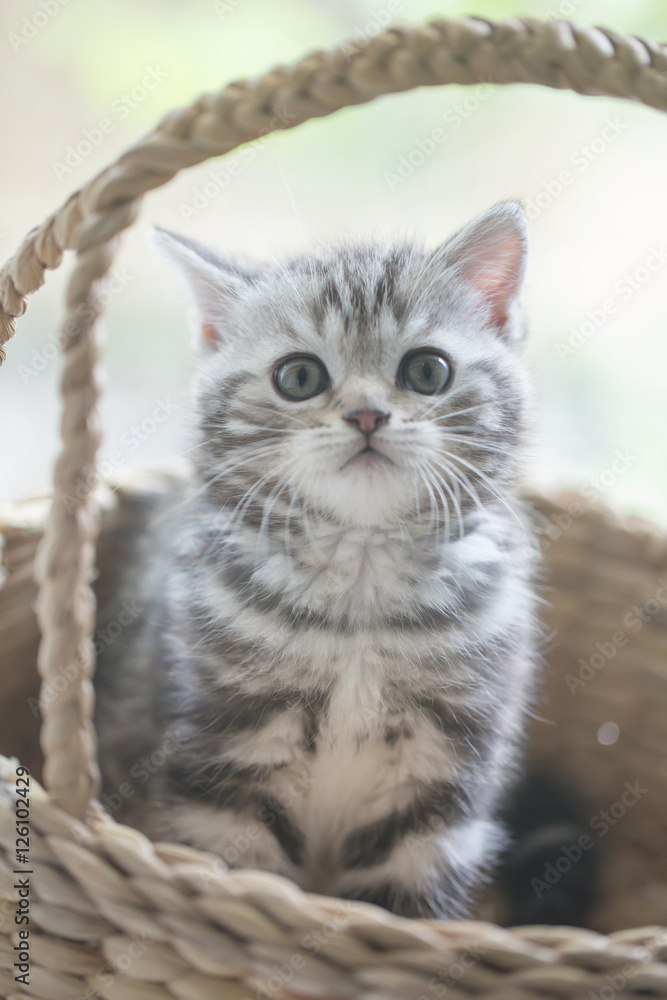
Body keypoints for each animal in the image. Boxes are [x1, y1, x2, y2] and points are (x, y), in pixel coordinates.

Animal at [95, 199, 536, 916]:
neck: (361, 571)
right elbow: (242, 879)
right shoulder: (221, 765)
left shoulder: (441, 789)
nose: (367, 415)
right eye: (298, 377)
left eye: (427, 371)